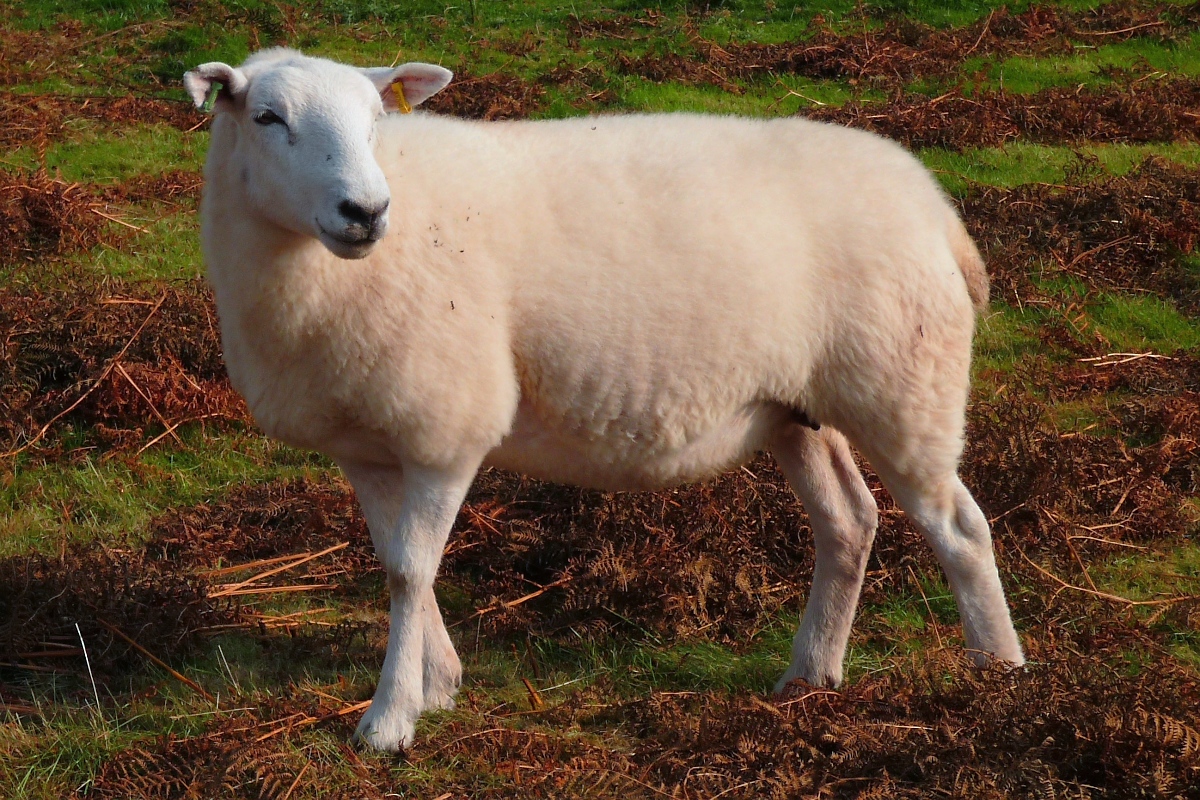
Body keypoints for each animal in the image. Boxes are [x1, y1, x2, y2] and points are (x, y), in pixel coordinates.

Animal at [184, 48, 1022, 753]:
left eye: (375, 121)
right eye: (267, 117)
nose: (365, 212)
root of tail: (935, 207)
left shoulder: (445, 427)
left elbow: (412, 572)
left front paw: (391, 719)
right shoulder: (369, 444)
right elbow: (396, 565)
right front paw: (438, 681)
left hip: (904, 382)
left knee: (960, 528)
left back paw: (1000, 673)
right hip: (798, 409)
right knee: (849, 523)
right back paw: (809, 676)